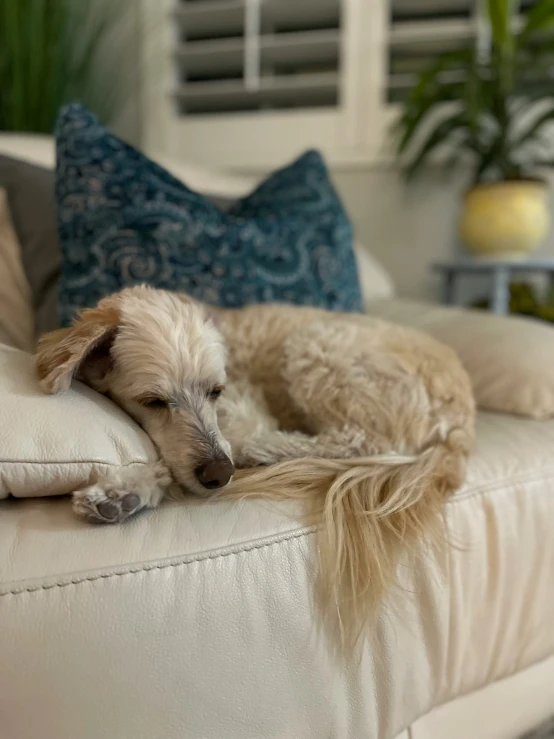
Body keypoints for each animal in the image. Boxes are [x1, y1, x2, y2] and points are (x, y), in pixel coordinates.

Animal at [36, 286, 472, 644]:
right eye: (153, 401)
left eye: (216, 390)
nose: (220, 475)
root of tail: (462, 415)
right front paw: (126, 489)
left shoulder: (241, 412)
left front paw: (132, 482)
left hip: (320, 348)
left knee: (356, 441)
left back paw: (261, 450)